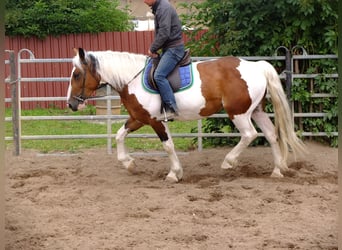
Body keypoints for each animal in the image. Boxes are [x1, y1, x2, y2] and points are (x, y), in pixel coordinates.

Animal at [67, 47, 308, 183]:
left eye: (77, 74)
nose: (71, 104)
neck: (132, 78)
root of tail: (257, 67)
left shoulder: (155, 121)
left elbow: (168, 146)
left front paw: (174, 173)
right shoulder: (138, 118)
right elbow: (119, 135)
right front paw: (128, 163)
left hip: (238, 113)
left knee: (250, 134)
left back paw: (228, 162)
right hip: (256, 110)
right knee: (271, 134)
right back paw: (277, 170)